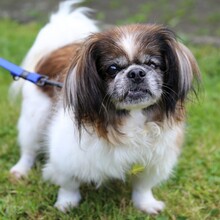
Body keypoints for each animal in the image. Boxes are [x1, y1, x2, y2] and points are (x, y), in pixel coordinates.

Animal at [9, 0, 199, 215]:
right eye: (112, 69)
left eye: (152, 64)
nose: (136, 73)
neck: (131, 119)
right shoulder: (66, 155)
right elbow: (68, 184)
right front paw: (67, 203)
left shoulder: (154, 159)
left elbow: (143, 186)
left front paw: (146, 204)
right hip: (34, 119)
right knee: (29, 149)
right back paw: (20, 170)